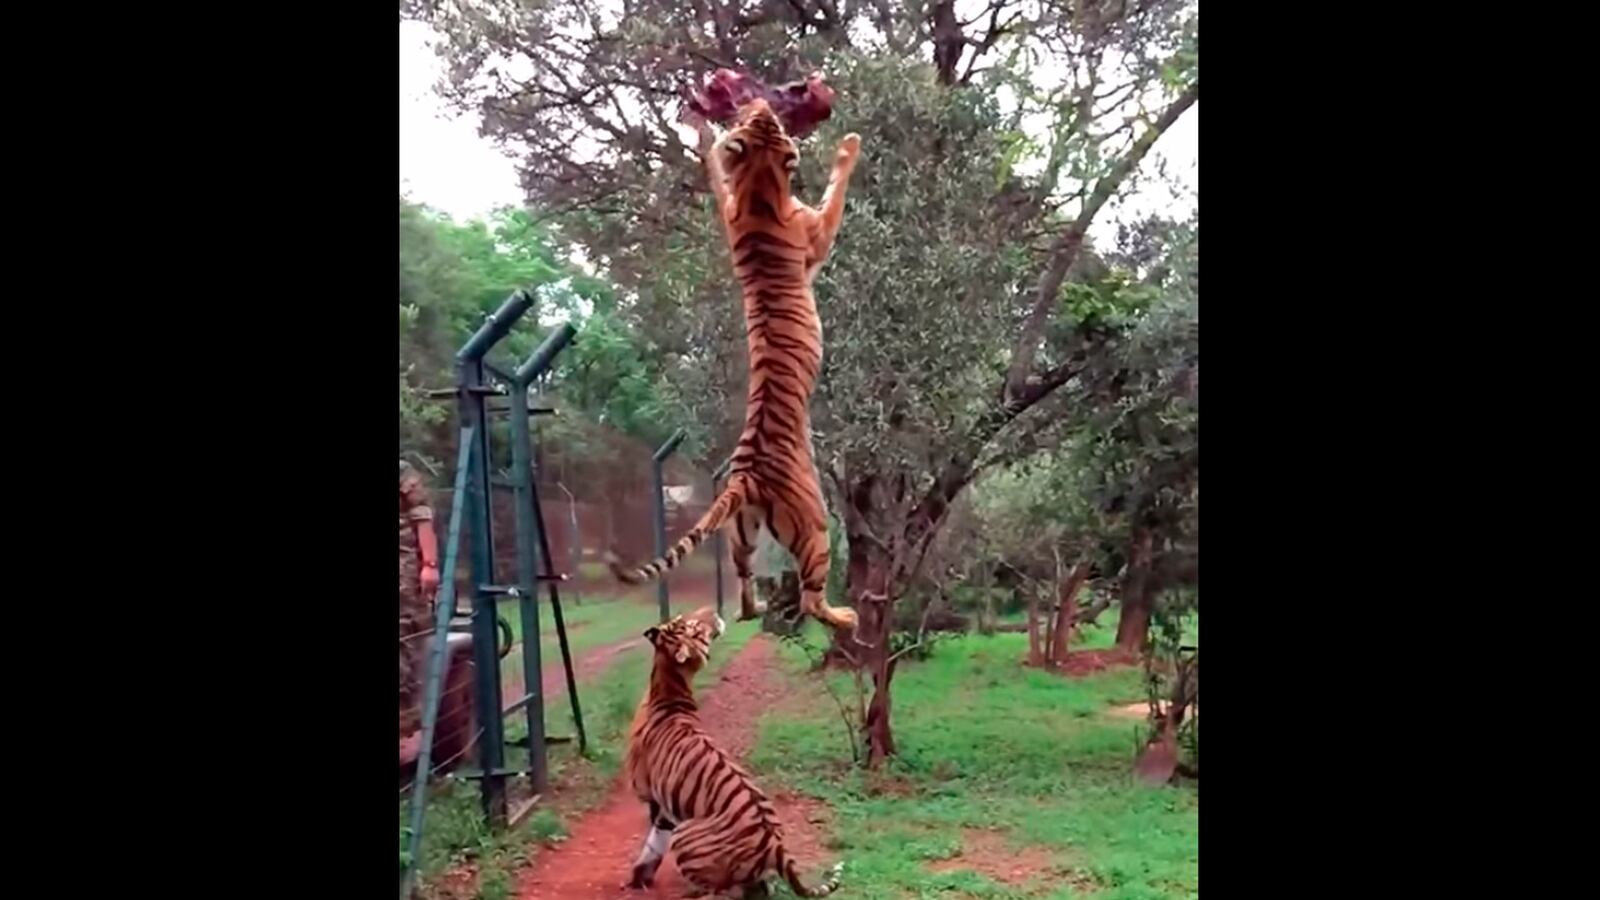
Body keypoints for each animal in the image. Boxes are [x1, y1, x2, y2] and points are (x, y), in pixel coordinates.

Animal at [608, 98, 863, 640]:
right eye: (770, 121)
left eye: (755, 118)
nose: (761, 101)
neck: (760, 186)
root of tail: (744, 475)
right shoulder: (818, 233)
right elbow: (836, 193)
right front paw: (848, 146)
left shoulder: (727, 207)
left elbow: (712, 168)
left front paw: (703, 132)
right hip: (815, 525)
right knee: (811, 598)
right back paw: (843, 615)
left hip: (739, 533)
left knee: (745, 584)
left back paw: (752, 608)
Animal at [625, 611, 844, 897]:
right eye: (690, 624)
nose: (713, 613)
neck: (668, 689)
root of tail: (775, 845)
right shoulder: (663, 806)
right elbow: (654, 840)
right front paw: (639, 876)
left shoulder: (650, 795)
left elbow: (654, 837)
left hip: (686, 834)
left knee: (724, 891)